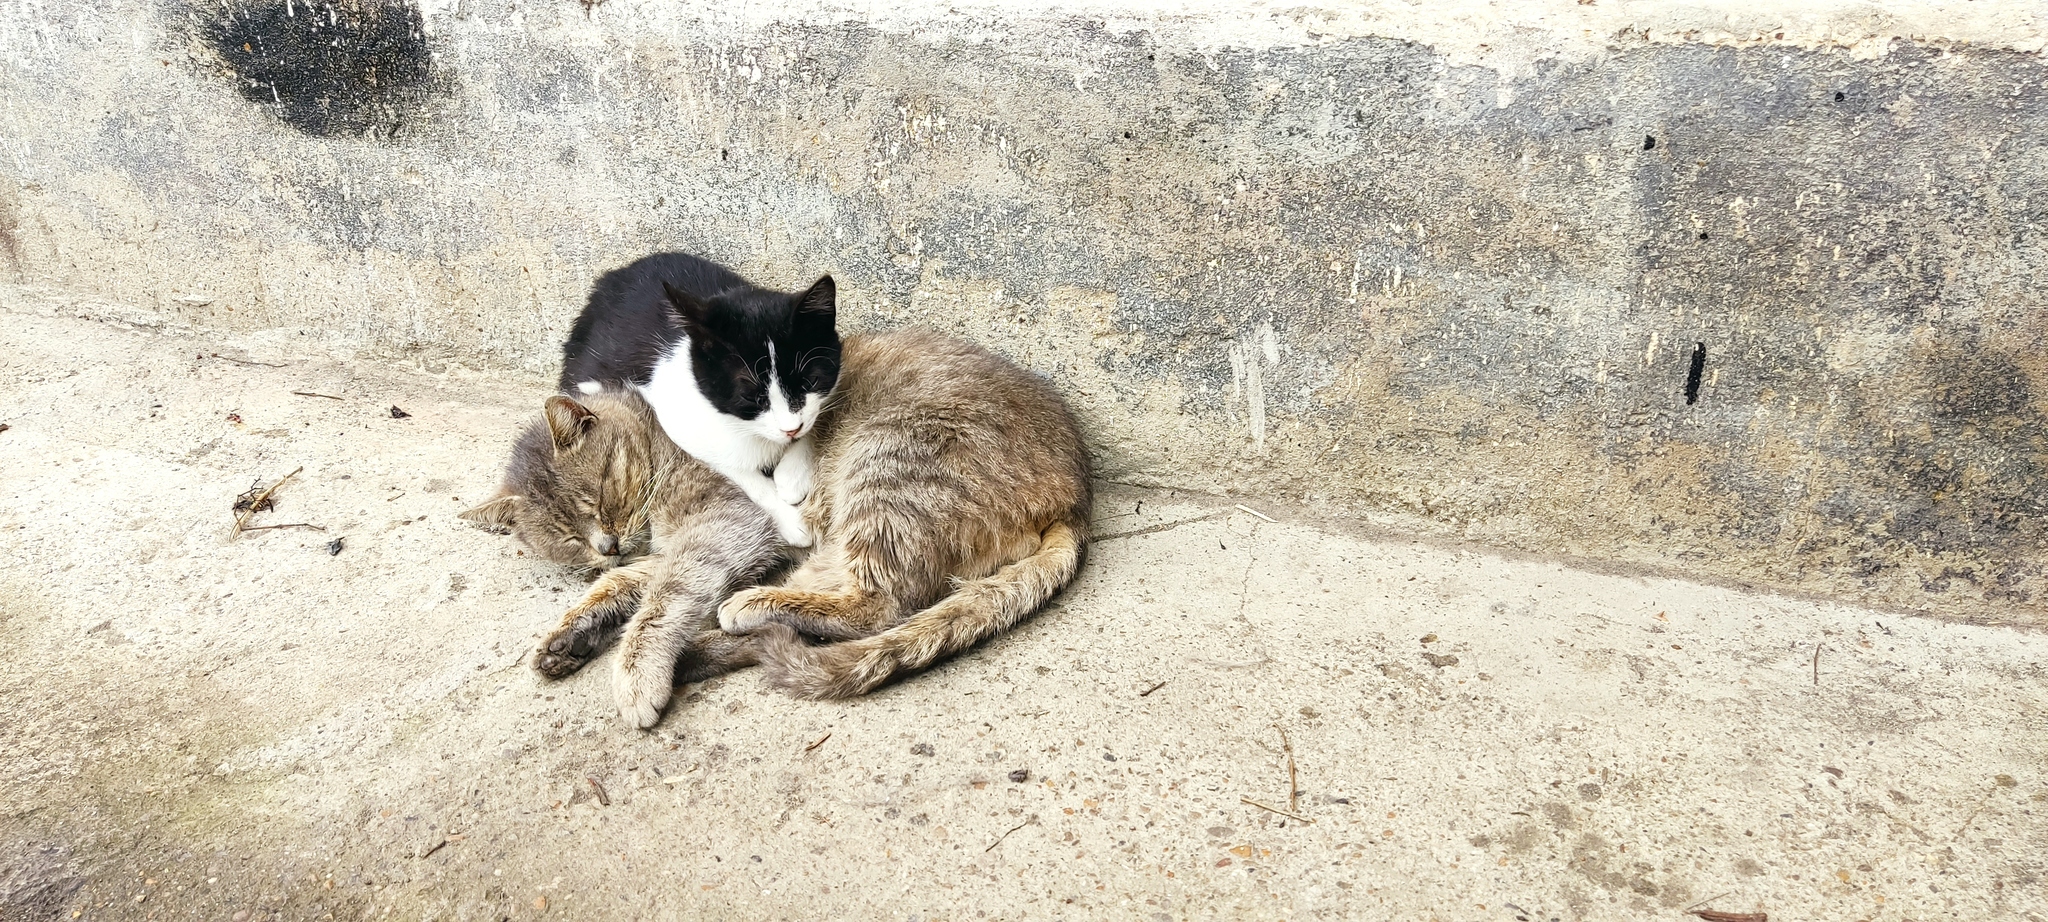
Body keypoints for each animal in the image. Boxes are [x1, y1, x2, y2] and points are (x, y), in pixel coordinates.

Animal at [557, 252, 835, 549]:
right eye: (750, 396)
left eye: (810, 382)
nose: (790, 429)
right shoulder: (679, 422)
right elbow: (736, 470)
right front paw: (789, 519)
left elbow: (818, 416)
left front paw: (792, 474)